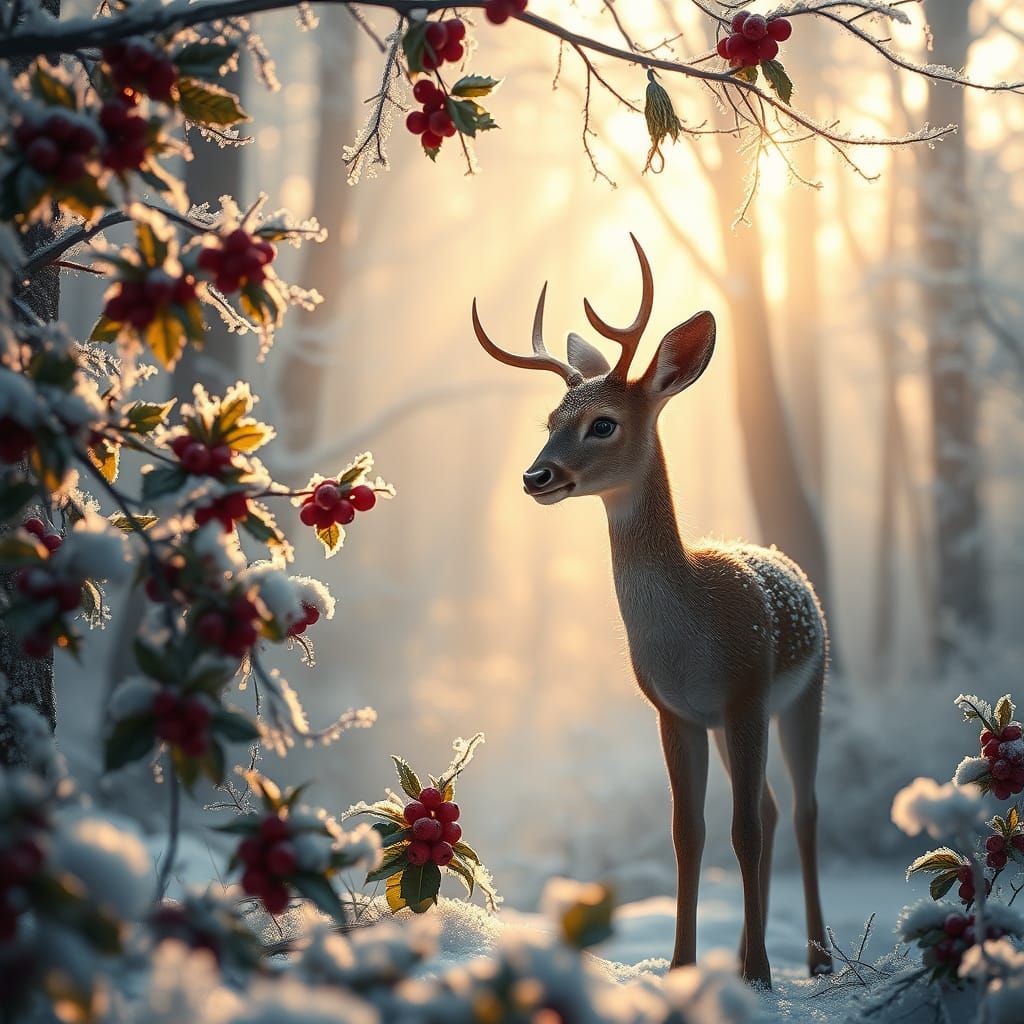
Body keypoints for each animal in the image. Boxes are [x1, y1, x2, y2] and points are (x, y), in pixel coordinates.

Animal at [472, 235, 832, 989]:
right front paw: (683, 966)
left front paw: (759, 973)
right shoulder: (675, 710)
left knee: (803, 809)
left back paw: (815, 958)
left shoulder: (746, 691)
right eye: (551, 421)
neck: (690, 629)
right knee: (771, 806)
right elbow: (688, 834)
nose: (535, 476)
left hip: (806, 689)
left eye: (602, 424)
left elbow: (739, 832)